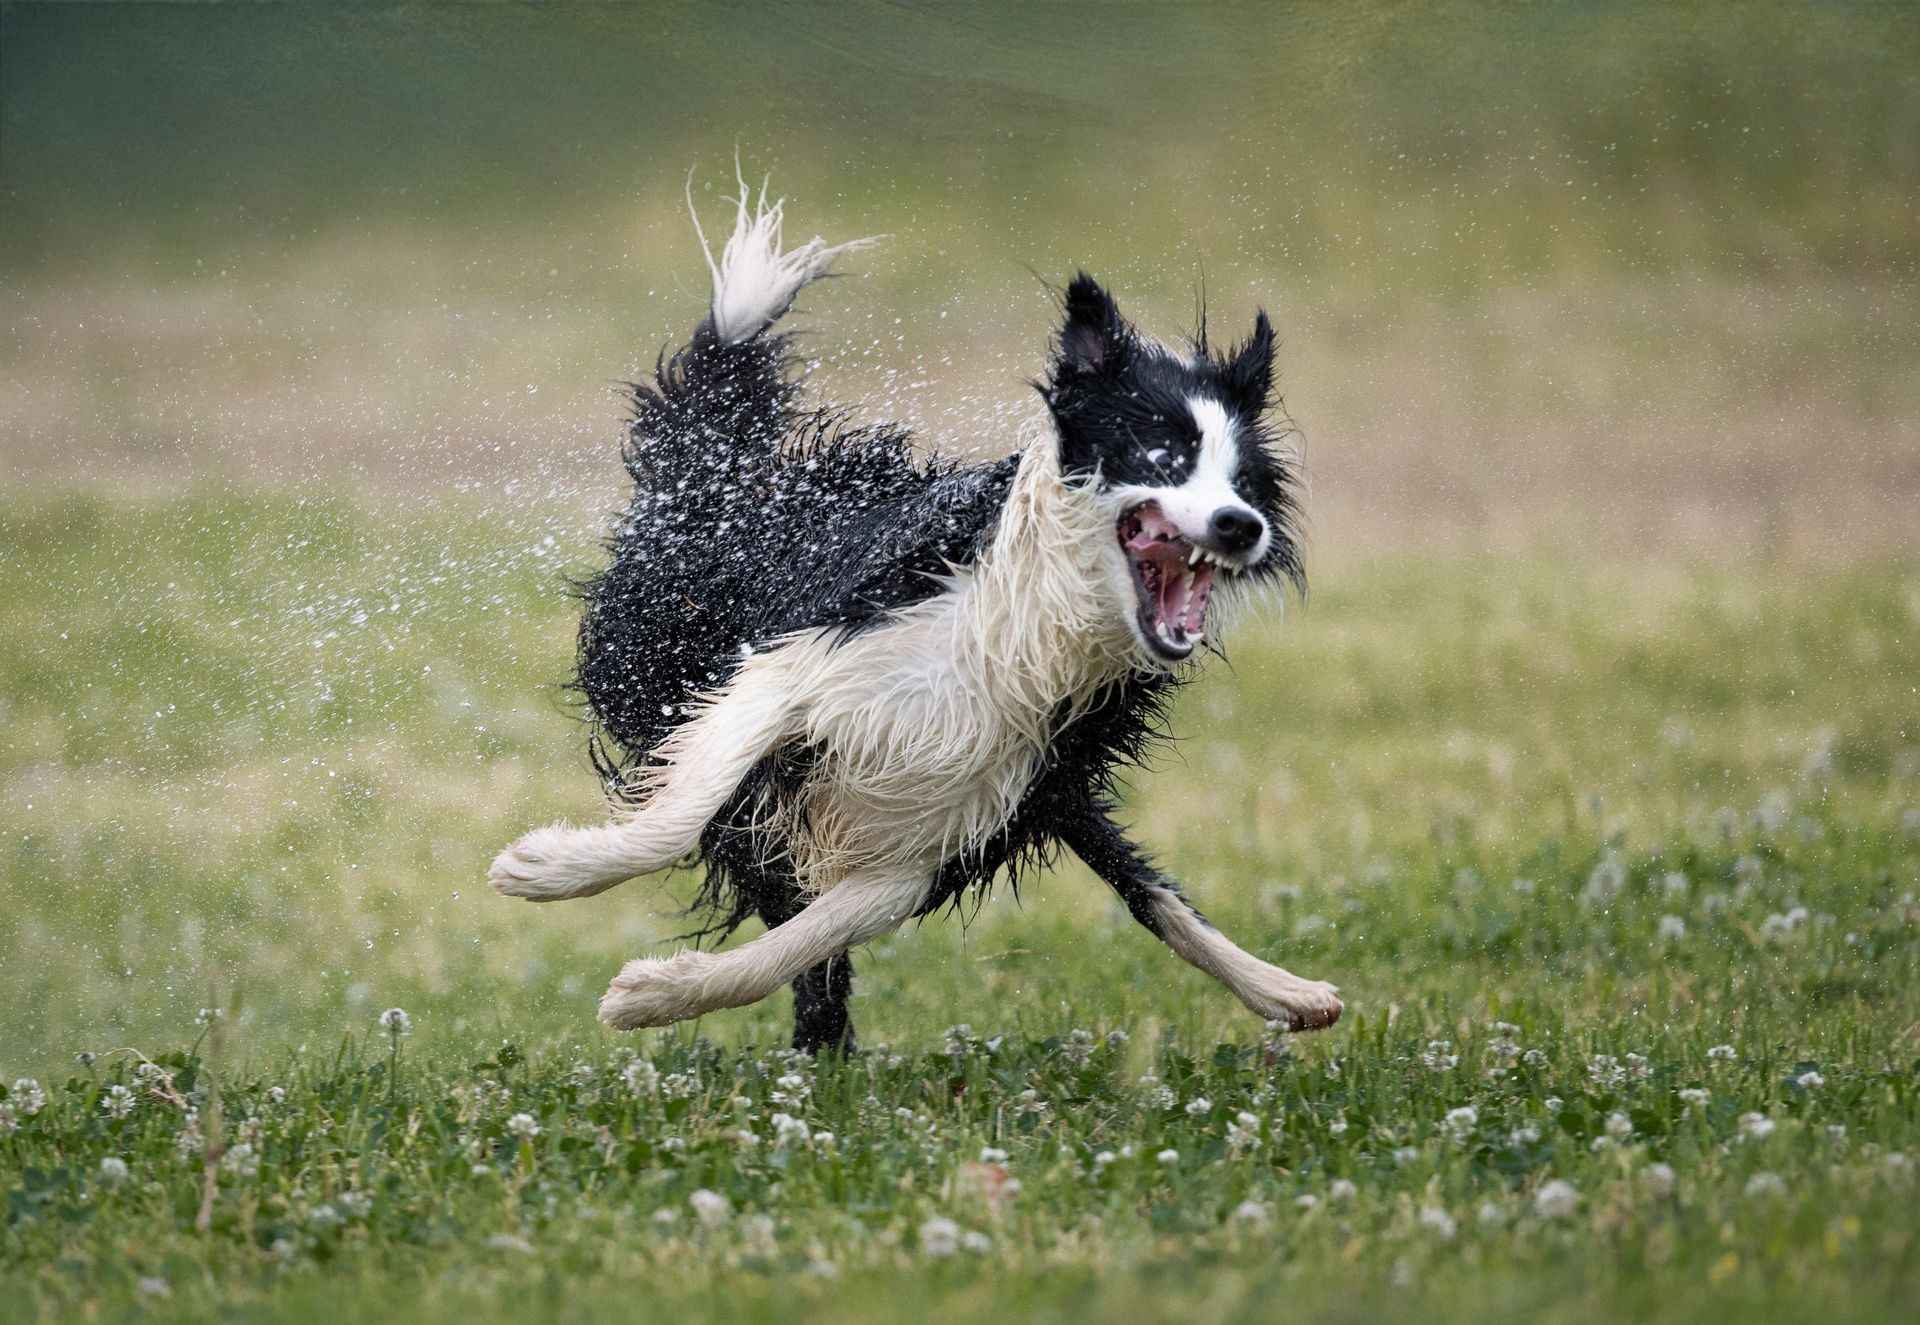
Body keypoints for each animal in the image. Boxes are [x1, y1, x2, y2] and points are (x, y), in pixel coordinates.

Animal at [487, 180, 1344, 1052]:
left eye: (1247, 480)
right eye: (1163, 455)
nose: (1242, 525)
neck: (1025, 630)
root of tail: (728, 477)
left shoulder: (949, 825)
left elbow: (806, 937)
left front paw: (655, 994)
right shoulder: (797, 664)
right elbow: (683, 810)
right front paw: (547, 867)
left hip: (1042, 790)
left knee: (1142, 885)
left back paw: (1290, 991)